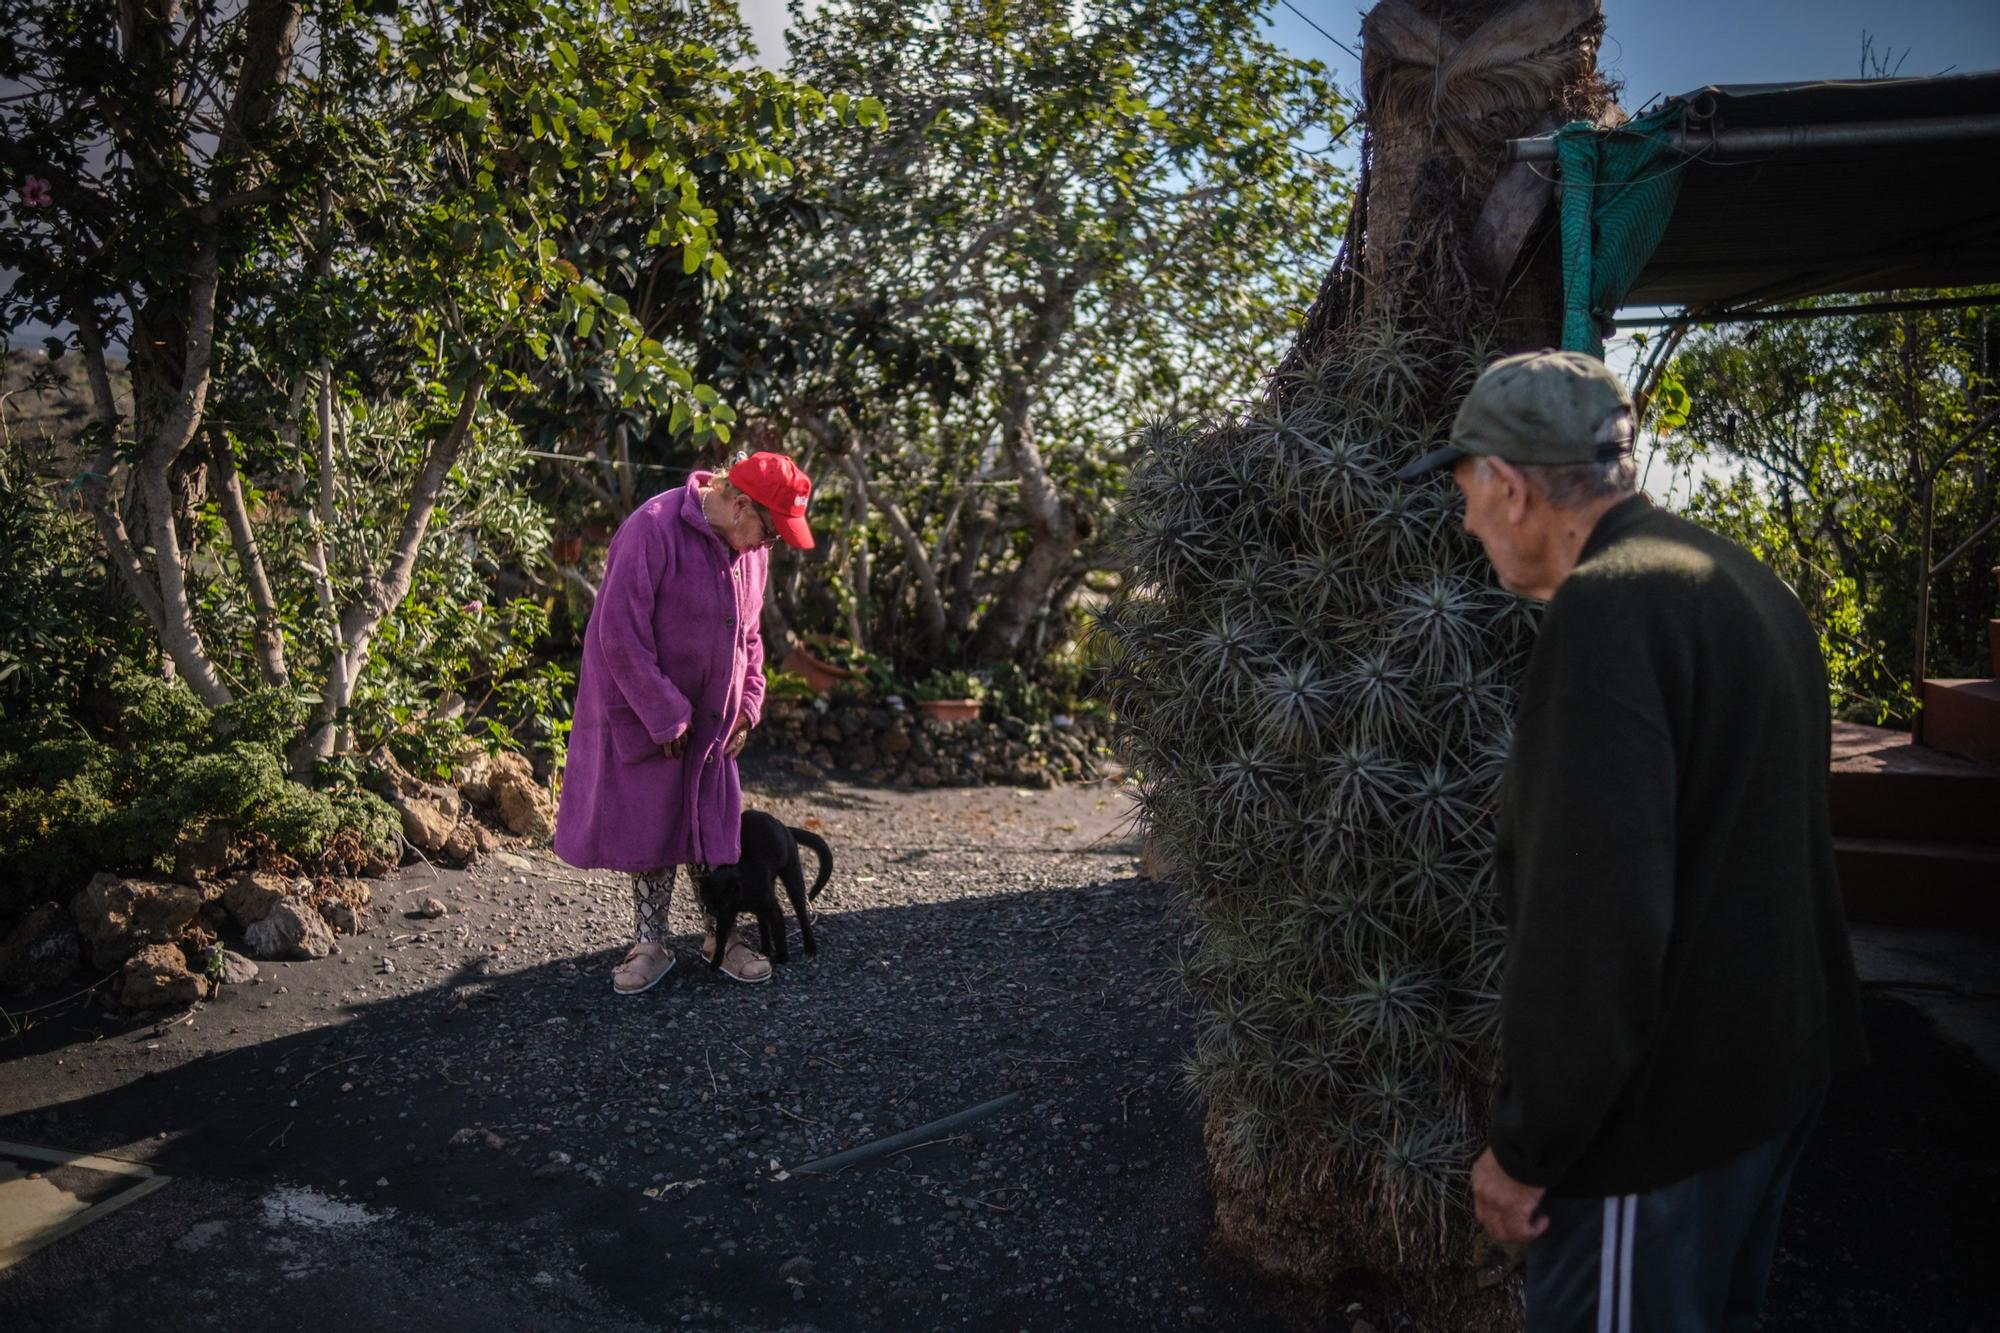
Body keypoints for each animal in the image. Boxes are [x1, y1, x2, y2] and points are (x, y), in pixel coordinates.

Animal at [696, 804, 836, 972]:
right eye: (709, 902)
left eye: (724, 903)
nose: (714, 911)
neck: (740, 901)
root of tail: (783, 825)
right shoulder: (727, 917)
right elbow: (721, 938)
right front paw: (716, 962)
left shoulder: (770, 907)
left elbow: (778, 930)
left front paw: (782, 957)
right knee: (762, 923)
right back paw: (765, 950)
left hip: (792, 878)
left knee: (802, 914)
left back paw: (810, 947)